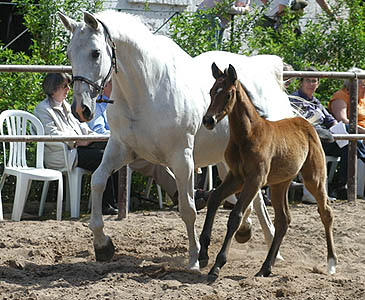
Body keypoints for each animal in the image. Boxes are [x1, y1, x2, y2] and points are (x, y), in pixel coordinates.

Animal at [59, 10, 292, 270]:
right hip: (228, 161)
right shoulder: (121, 149)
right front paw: (102, 245)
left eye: (96, 53)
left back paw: (270, 248)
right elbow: (98, 181)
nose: (81, 109)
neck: (147, 91)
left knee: (259, 198)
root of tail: (267, 73)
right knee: (253, 199)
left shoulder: (182, 159)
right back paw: (251, 234)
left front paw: (195, 258)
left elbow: (188, 209)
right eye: (69, 53)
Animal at [199, 62, 336, 280]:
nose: (208, 120)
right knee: (283, 220)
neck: (248, 135)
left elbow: (236, 216)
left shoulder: (254, 179)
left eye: (228, 94)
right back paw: (266, 267)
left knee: (325, 212)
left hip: (314, 178)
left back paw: (331, 264)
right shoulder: (236, 177)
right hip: (280, 183)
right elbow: (213, 199)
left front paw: (217, 265)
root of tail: (306, 124)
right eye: (212, 92)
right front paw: (203, 255)